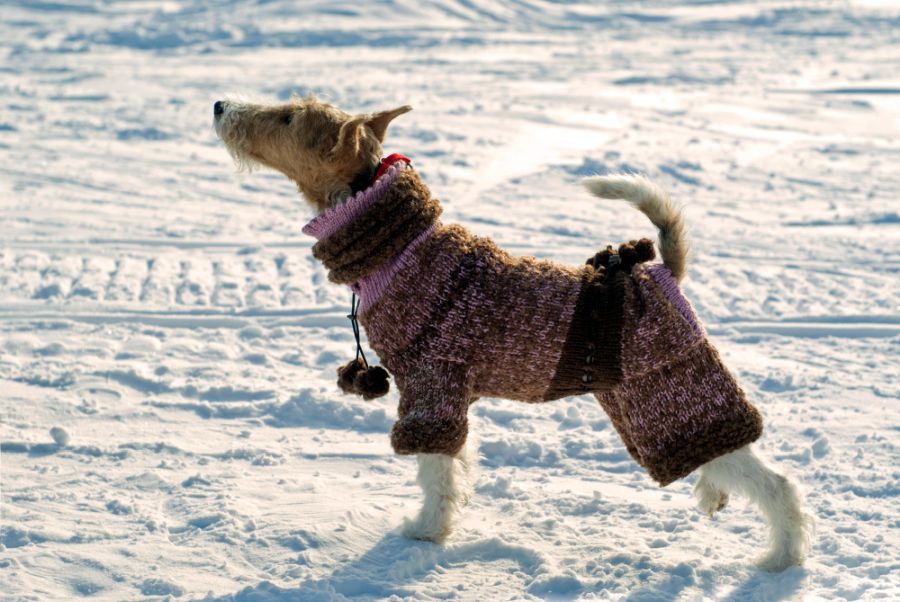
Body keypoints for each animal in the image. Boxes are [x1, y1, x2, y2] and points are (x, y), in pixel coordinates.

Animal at [214, 94, 812, 568]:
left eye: (289, 117)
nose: (220, 105)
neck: (401, 248)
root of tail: (662, 268)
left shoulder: (431, 385)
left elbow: (435, 475)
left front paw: (424, 533)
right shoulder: (446, 394)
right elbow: (453, 469)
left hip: (670, 390)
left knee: (774, 484)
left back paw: (780, 559)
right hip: (651, 407)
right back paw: (715, 496)